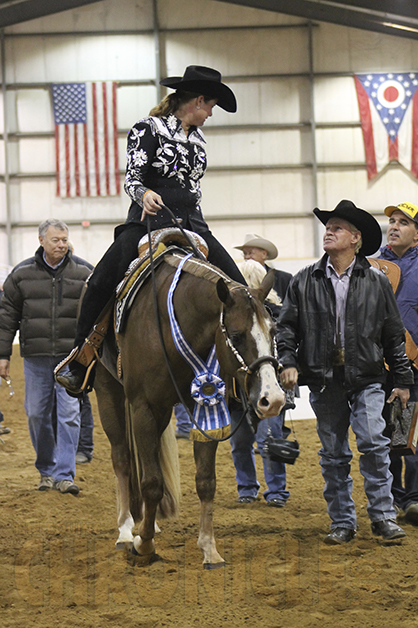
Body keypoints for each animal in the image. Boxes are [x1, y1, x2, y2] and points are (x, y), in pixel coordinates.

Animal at [94, 250, 284, 568]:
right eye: (236, 334)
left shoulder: (206, 404)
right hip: (109, 390)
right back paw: (126, 529)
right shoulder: (143, 406)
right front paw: (144, 546)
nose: (273, 399)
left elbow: (205, 481)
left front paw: (209, 548)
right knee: (122, 458)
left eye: (273, 330)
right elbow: (152, 482)